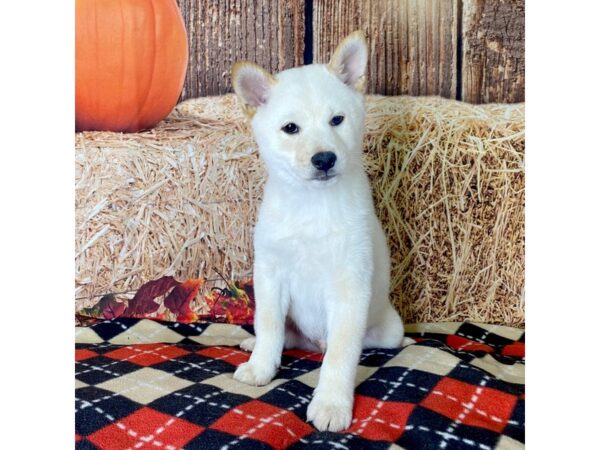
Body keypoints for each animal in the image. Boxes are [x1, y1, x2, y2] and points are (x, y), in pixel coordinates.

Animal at [232, 30, 410, 432]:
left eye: (337, 120)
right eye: (290, 128)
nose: (324, 159)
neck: (311, 207)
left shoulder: (350, 284)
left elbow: (342, 354)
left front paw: (331, 403)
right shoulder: (270, 274)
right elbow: (268, 325)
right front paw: (261, 366)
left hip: (388, 328)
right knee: (284, 336)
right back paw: (255, 348)